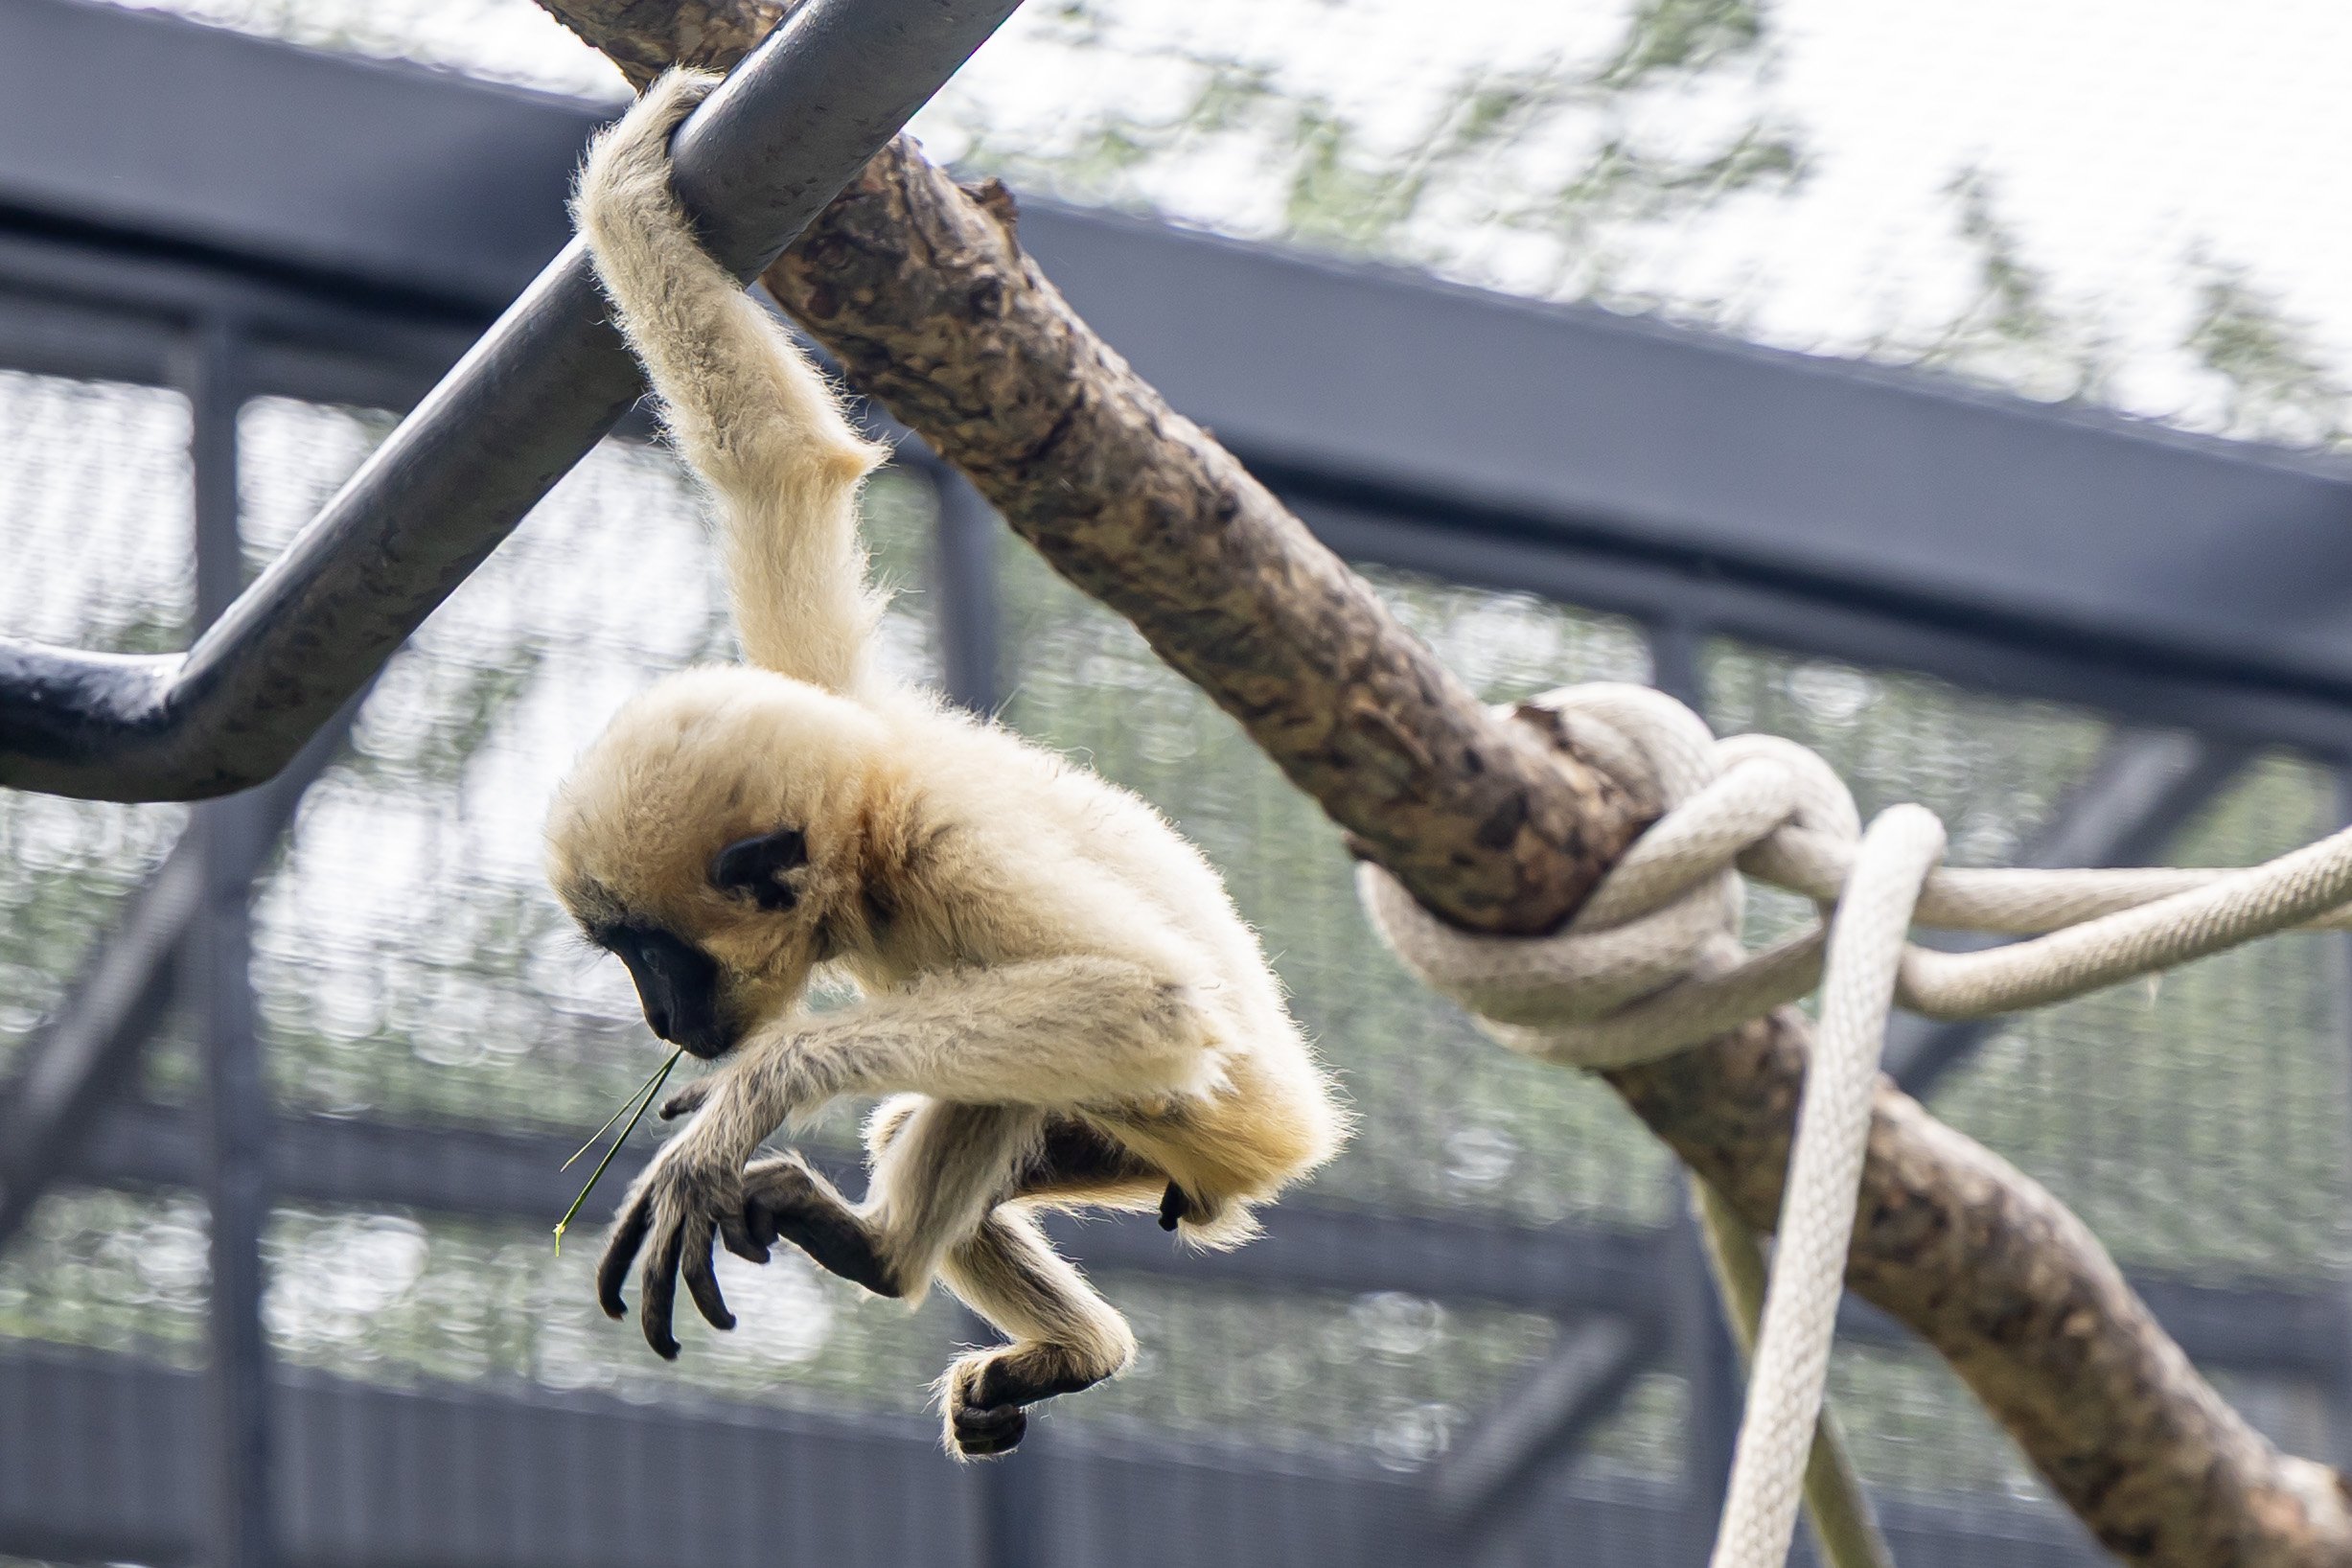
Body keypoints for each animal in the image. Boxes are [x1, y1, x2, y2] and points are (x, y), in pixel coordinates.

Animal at [545, 68, 1347, 1459]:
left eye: (655, 955)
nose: (658, 1018)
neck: (874, 830)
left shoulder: (950, 854)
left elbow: (1153, 999)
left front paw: (754, 1091)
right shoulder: (832, 705)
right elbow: (779, 463)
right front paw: (633, 189)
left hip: (1203, 1126)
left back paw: (879, 1257)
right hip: (1129, 1146)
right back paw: (1056, 1334)